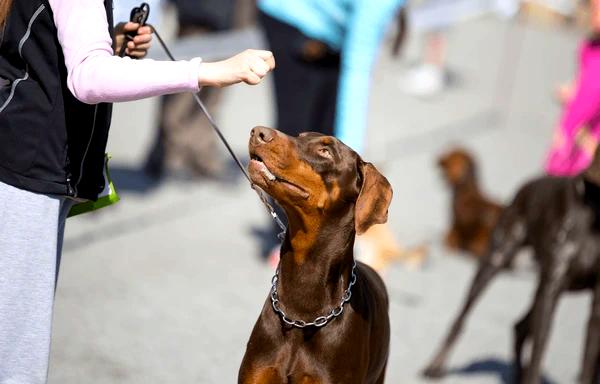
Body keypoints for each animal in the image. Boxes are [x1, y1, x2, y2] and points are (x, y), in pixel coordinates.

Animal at [422, 148, 600, 382]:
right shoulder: (551, 289)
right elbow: (537, 355)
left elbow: (587, 364)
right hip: (496, 260)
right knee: (461, 319)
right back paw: (435, 366)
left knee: (521, 327)